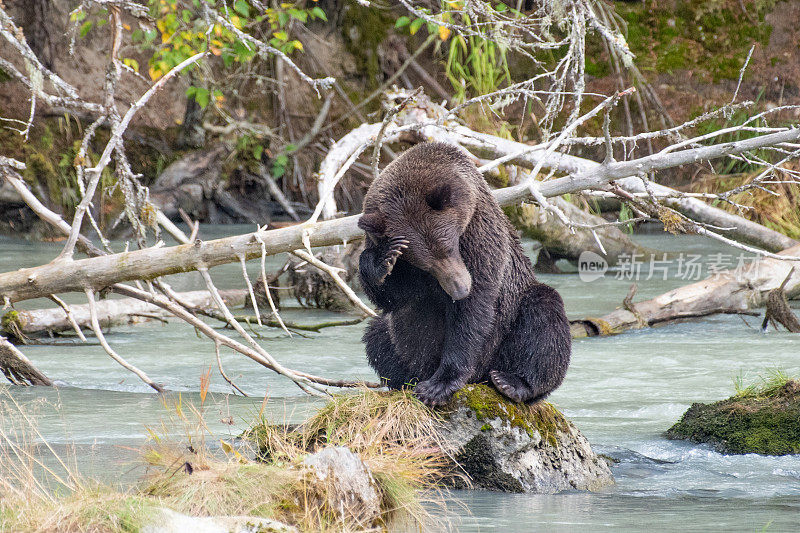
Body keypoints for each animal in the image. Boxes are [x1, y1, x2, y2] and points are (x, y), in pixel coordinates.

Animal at [360, 141, 572, 404]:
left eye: (449, 246)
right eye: (425, 263)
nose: (460, 289)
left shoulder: (480, 235)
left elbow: (473, 312)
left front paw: (439, 385)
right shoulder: (399, 260)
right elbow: (394, 298)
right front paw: (384, 258)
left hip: (507, 329)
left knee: (544, 317)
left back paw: (513, 382)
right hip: (397, 344)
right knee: (377, 334)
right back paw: (405, 380)